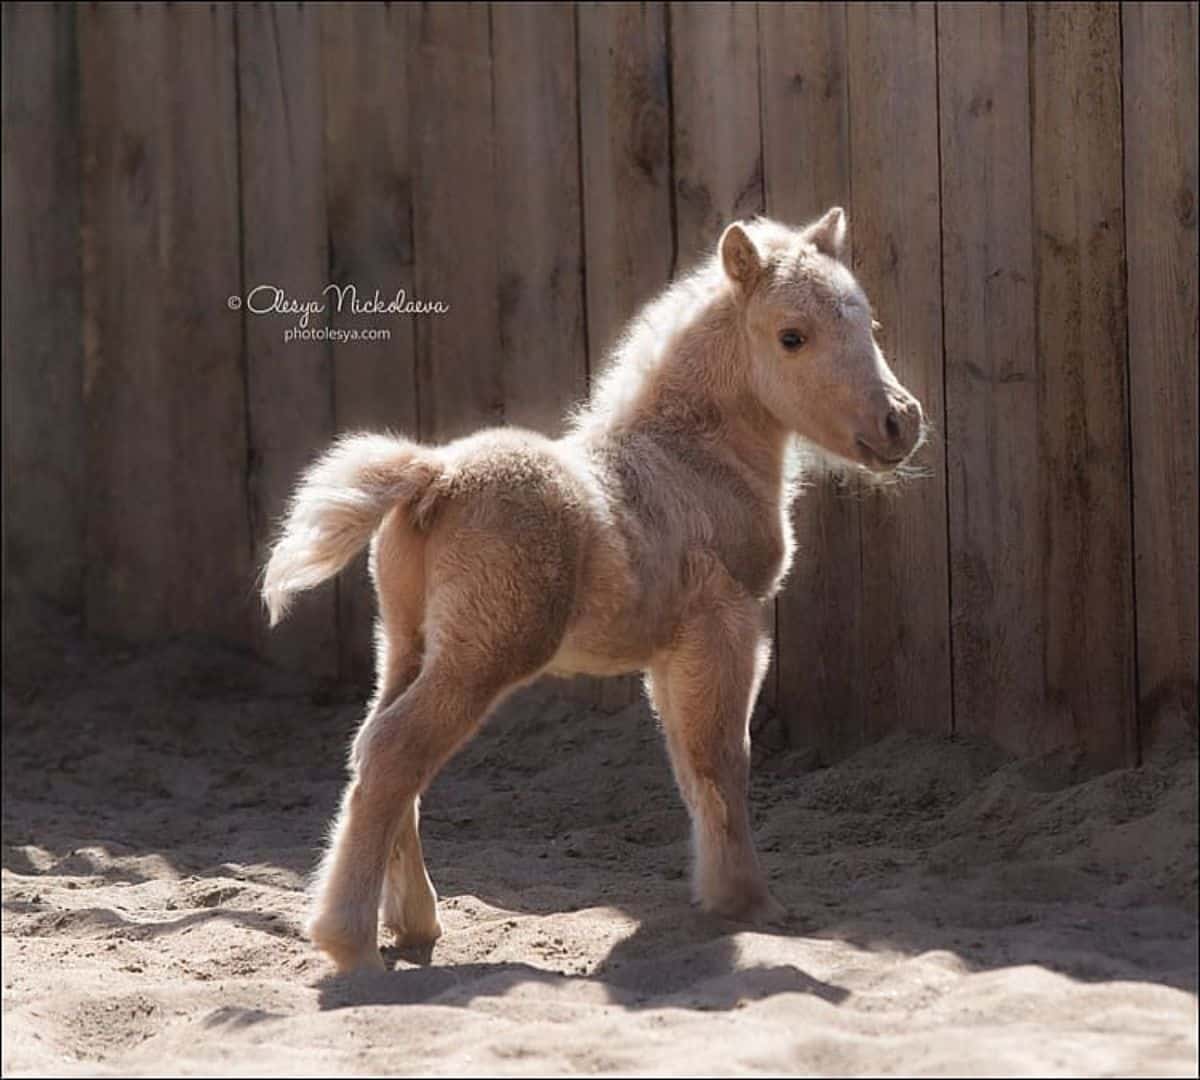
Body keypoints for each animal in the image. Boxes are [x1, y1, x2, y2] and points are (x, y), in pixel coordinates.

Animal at [262, 208, 926, 969]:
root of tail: (438, 475)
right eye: (793, 335)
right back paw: (349, 942)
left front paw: (716, 894)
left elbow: (688, 763)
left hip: (404, 643)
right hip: (482, 654)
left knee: (374, 747)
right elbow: (723, 759)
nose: (900, 422)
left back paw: (413, 923)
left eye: (867, 322)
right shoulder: (728, 624)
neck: (692, 458)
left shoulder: (670, 650)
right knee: (397, 751)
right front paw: (749, 903)